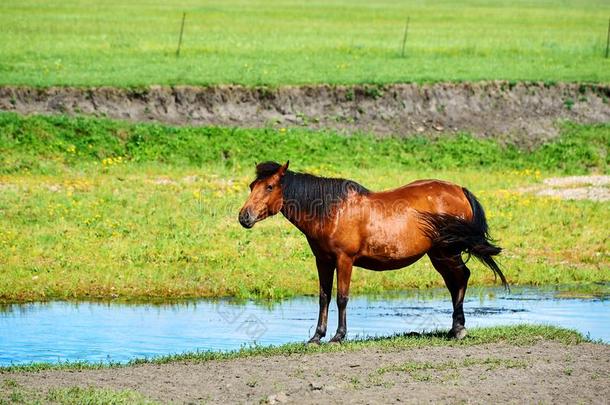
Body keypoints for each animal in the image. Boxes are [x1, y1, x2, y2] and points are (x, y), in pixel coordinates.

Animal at [236, 159, 504, 342]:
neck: (332, 211)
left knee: (461, 278)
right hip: (439, 254)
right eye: (252, 185)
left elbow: (342, 298)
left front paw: (338, 336)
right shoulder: (323, 260)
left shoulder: (344, 260)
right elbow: (324, 297)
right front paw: (316, 336)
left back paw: (459, 329)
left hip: (448, 252)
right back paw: (455, 328)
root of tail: (459, 189)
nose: (244, 216)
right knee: (455, 281)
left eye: (270, 186)